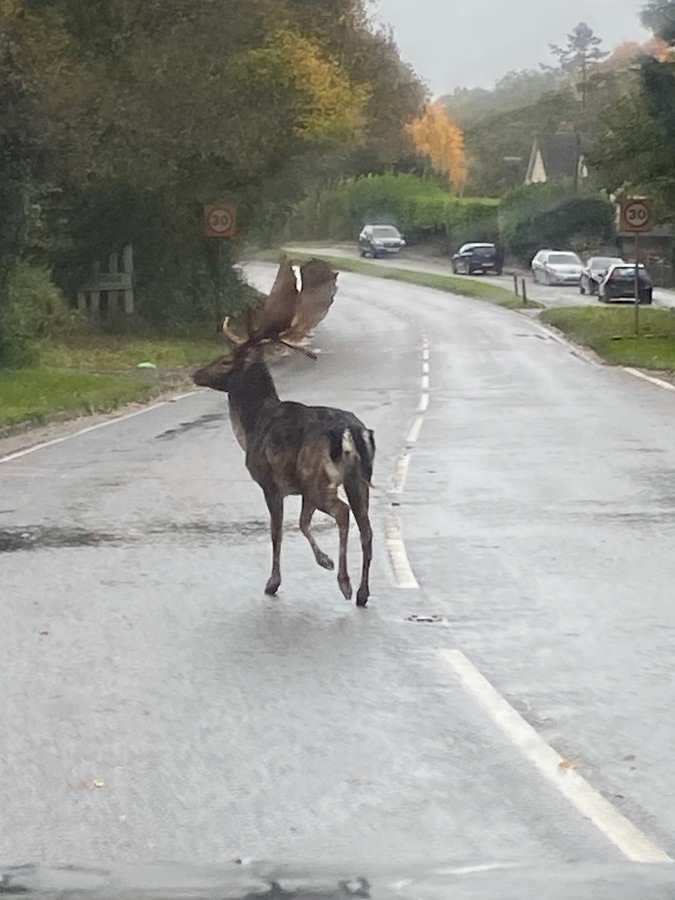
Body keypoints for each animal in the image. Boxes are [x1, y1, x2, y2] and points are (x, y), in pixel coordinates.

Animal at [192, 256, 375, 606]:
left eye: (225, 361)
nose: (195, 373)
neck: (250, 426)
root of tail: (349, 431)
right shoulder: (298, 487)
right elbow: (302, 523)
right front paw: (323, 560)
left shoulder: (270, 482)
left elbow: (277, 532)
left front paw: (273, 582)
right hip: (358, 480)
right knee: (367, 529)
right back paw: (362, 592)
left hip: (319, 477)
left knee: (343, 514)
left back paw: (345, 584)